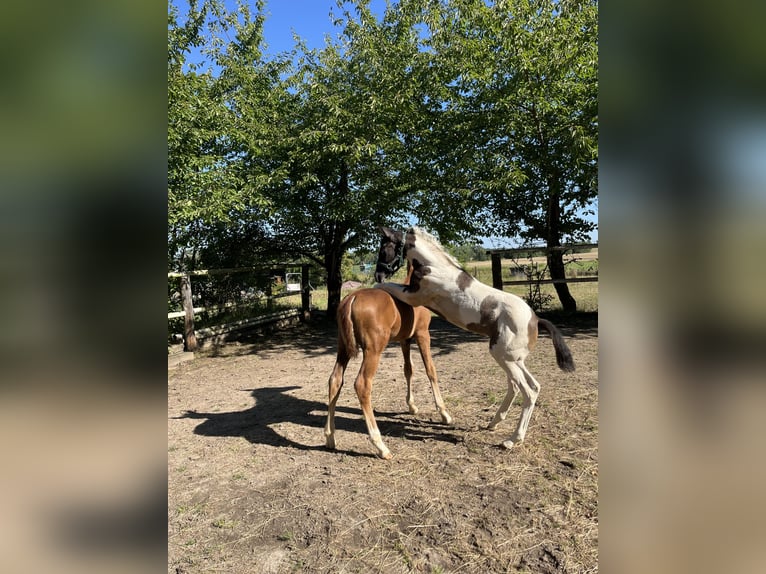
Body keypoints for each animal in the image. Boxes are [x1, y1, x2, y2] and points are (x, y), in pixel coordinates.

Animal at [322, 264, 450, 462]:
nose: (379, 273)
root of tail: (352, 298)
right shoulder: (422, 334)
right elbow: (430, 369)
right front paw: (444, 413)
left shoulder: (405, 340)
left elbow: (408, 370)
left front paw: (412, 406)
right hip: (373, 349)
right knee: (362, 384)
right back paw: (381, 445)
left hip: (343, 348)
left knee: (335, 380)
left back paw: (330, 437)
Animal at [376, 227, 572, 452]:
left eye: (384, 248)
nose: (378, 273)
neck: (435, 266)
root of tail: (536, 319)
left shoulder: (414, 296)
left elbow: (388, 287)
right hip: (514, 359)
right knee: (526, 386)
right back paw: (494, 423)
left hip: (503, 356)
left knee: (528, 391)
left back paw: (512, 439)